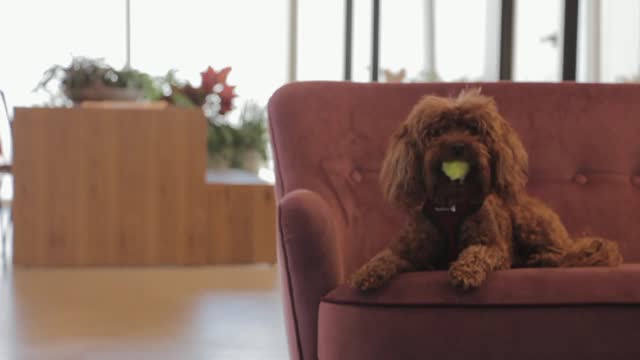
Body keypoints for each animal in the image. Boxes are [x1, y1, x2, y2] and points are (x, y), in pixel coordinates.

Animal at [348, 88, 624, 292]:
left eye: (473, 129)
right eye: (437, 131)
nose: (458, 146)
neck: (452, 202)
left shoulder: (495, 248)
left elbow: (477, 252)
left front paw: (465, 271)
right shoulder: (410, 250)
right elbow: (386, 256)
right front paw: (365, 272)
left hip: (530, 222)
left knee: (566, 254)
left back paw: (543, 258)